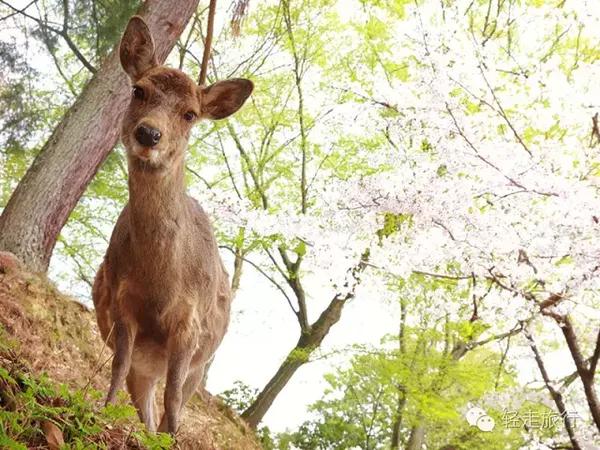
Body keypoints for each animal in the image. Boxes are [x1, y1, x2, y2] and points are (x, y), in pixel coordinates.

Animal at [92, 15, 253, 434]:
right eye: (138, 90)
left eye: (190, 113)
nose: (149, 133)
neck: (160, 284)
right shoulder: (123, 304)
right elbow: (116, 368)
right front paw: (100, 412)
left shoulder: (189, 323)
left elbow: (175, 396)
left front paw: (172, 437)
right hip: (146, 364)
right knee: (143, 401)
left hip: (200, 363)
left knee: (171, 395)